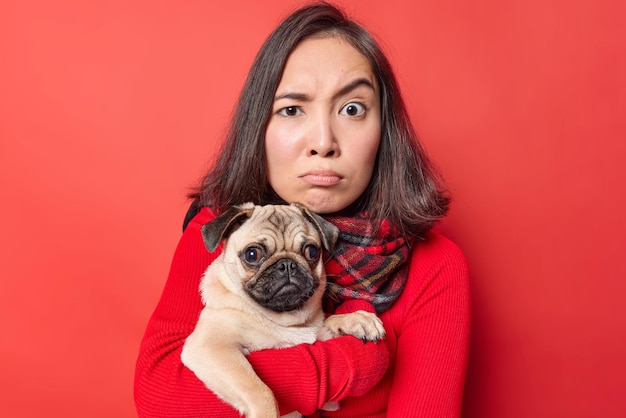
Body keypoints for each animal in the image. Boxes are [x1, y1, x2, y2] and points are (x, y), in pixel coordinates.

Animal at [179, 203, 386, 418]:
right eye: (252, 254)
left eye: (312, 251)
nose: (287, 264)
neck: (284, 319)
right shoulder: (210, 346)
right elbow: (260, 391)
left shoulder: (330, 401)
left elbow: (326, 324)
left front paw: (356, 320)